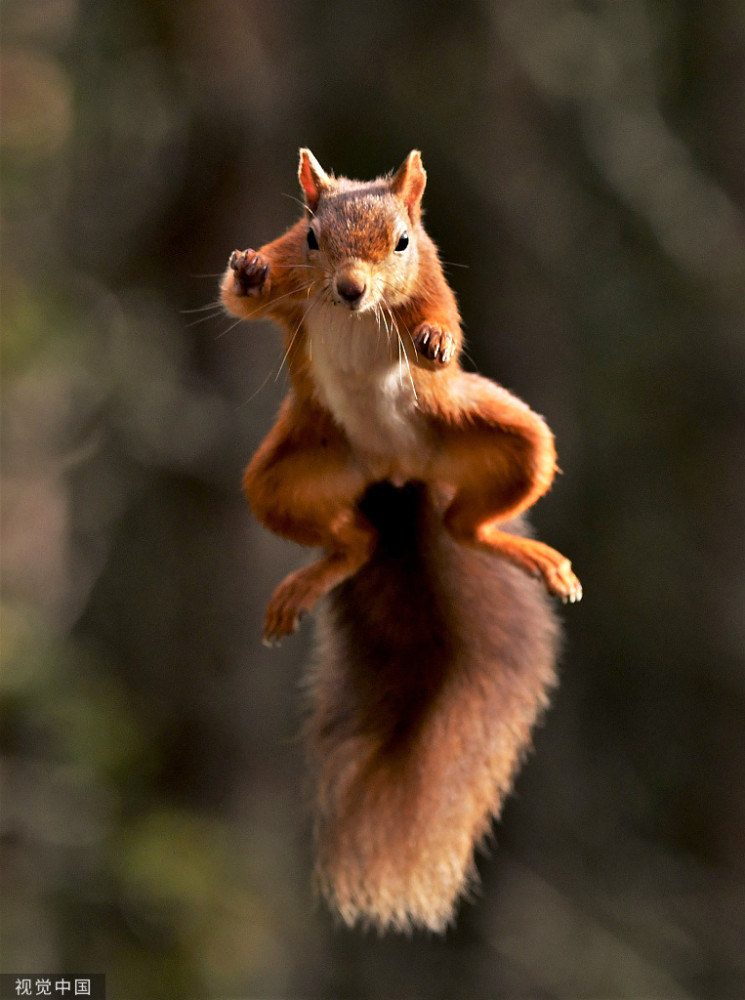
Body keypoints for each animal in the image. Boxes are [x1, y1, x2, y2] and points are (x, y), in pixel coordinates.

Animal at [221, 150, 580, 936]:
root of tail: (396, 472)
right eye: (312, 237)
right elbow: (240, 301)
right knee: (356, 541)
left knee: (468, 524)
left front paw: (435, 342)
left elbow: (442, 324)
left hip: (498, 435)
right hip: (291, 470)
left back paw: (538, 560)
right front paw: (247, 270)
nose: (352, 291)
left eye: (404, 242)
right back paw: (318, 572)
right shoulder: (290, 271)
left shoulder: (432, 284)